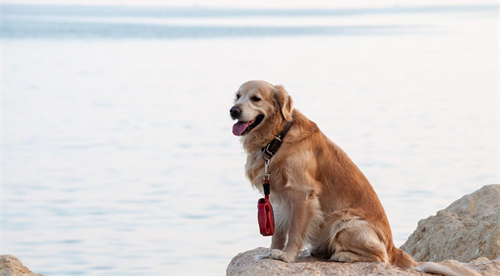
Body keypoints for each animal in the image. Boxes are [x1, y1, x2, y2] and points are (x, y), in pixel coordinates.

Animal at [230, 80, 480, 276]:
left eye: (256, 98)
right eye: (237, 96)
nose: (233, 110)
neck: (278, 136)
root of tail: (394, 248)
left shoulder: (302, 194)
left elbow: (294, 230)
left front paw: (287, 256)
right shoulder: (278, 196)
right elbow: (279, 232)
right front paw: (271, 252)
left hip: (345, 222)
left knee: (381, 258)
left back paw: (344, 256)